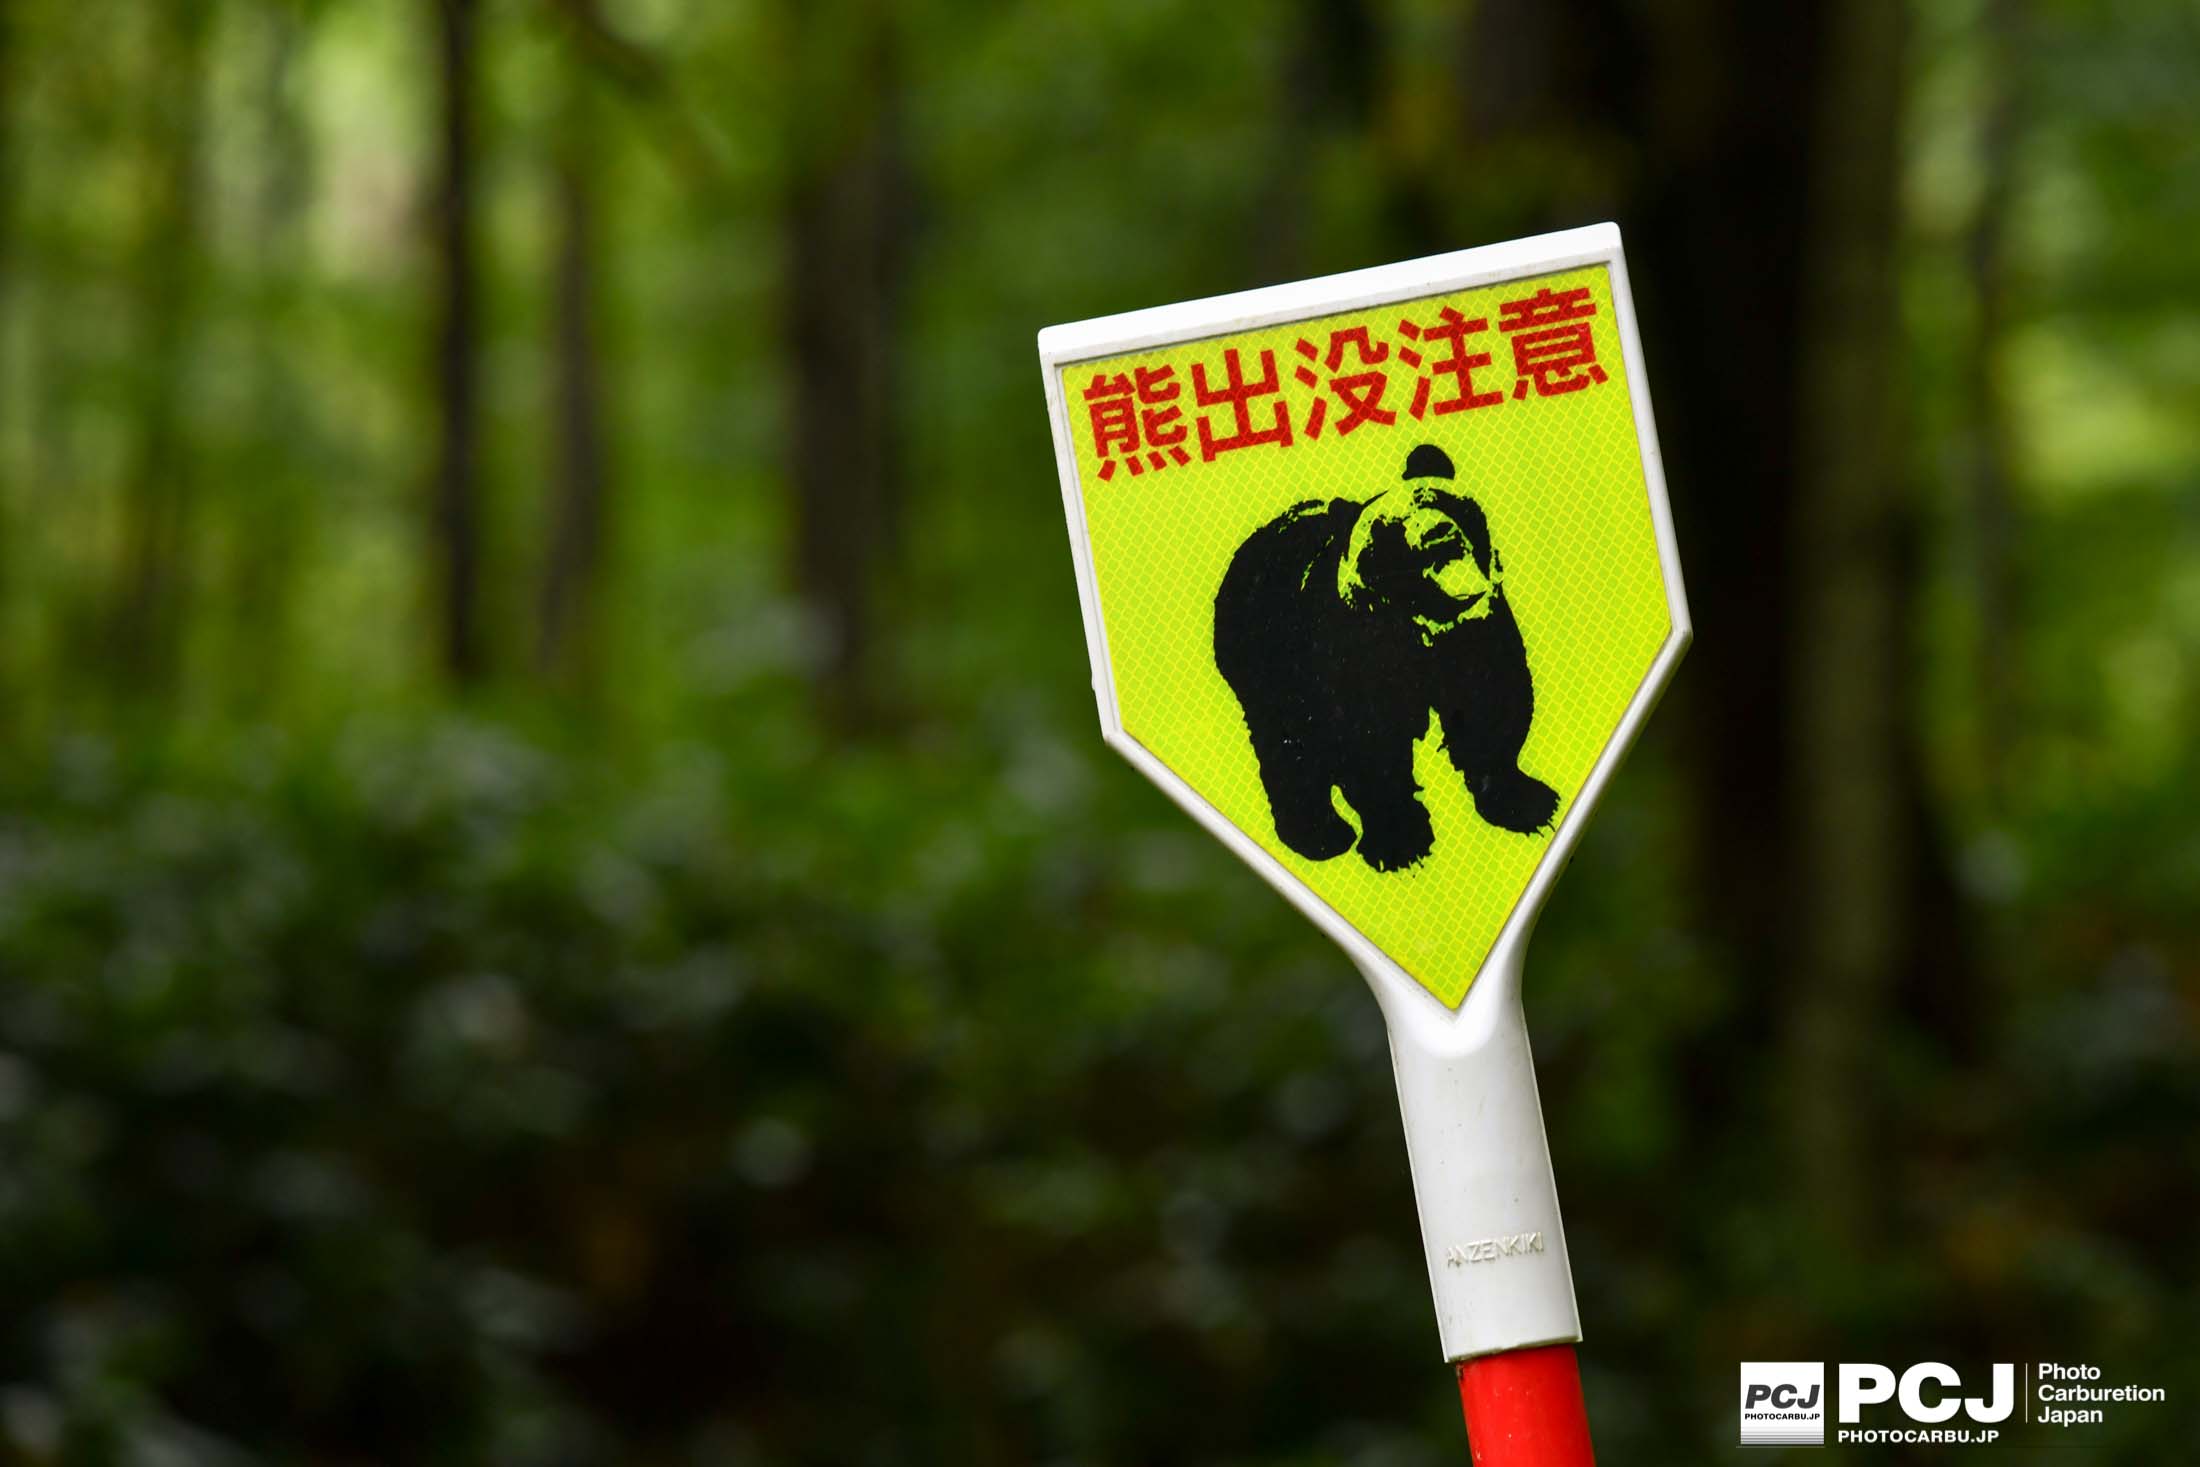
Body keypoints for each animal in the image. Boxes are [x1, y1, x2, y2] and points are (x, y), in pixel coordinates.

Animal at [1212, 442, 1559, 872]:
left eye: (1433, 498)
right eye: (1389, 528)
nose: (1436, 534)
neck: (1423, 622)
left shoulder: (1476, 634)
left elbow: (1491, 704)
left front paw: (1528, 802)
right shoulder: (1355, 651)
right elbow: (1370, 742)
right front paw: (1400, 842)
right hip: (1266, 664)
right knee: (1290, 746)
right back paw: (1320, 836)